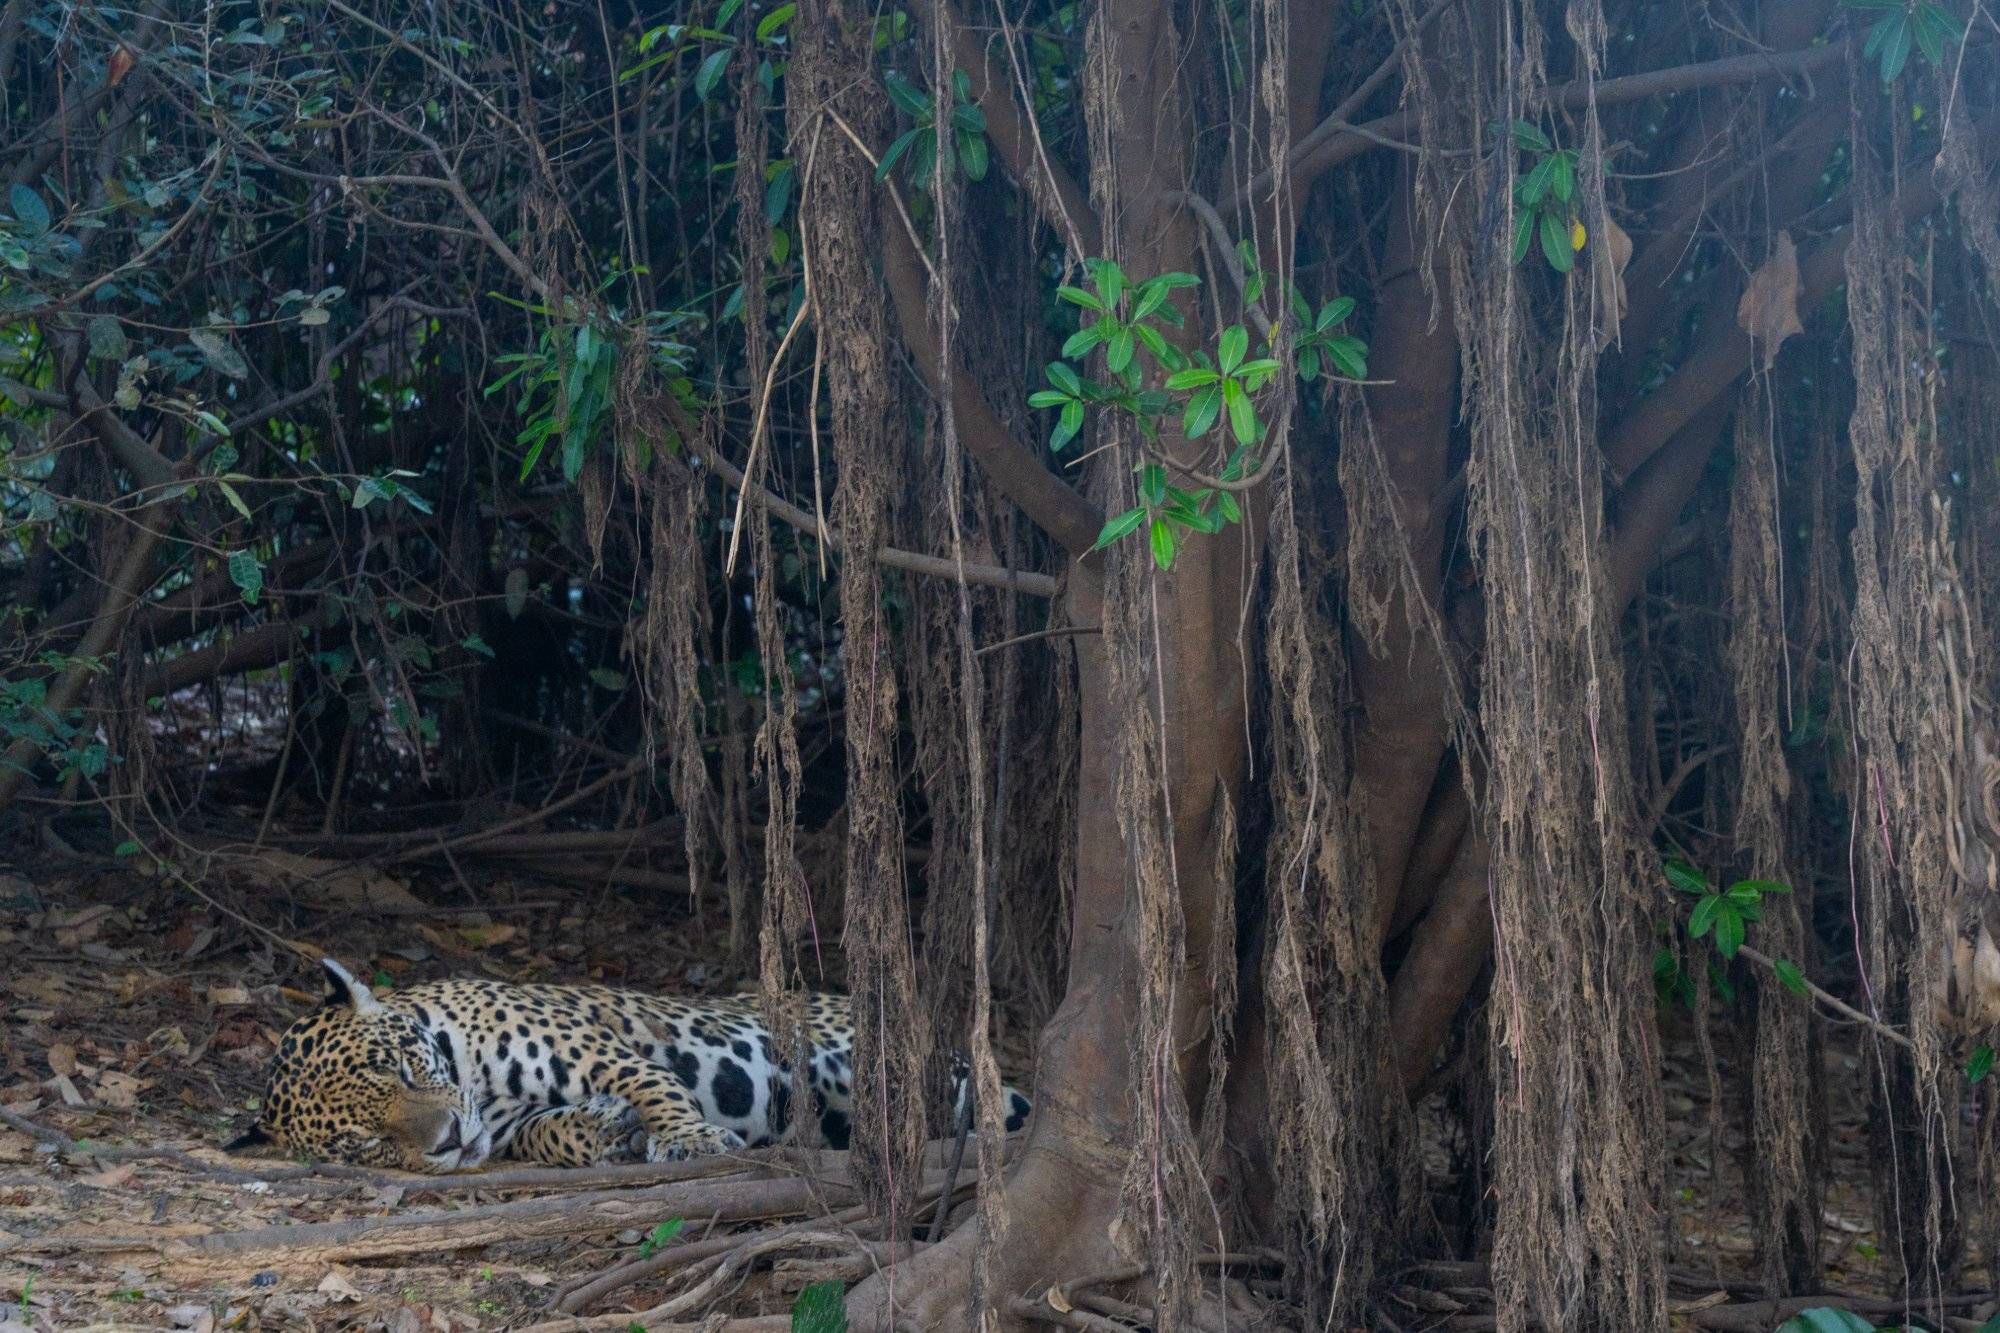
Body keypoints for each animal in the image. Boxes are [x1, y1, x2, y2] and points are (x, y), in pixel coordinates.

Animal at [224, 959, 1032, 1174]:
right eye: (364, 1143)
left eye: (398, 1068)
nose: (447, 1139)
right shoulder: (509, 1127)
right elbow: (545, 1133)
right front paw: (605, 1134)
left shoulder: (594, 1045)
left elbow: (654, 1083)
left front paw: (689, 1139)